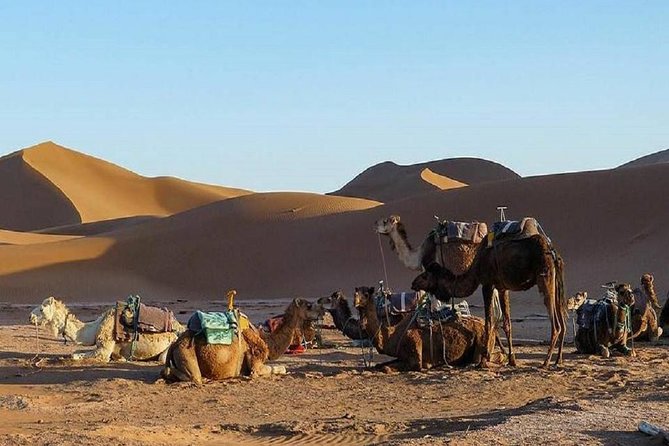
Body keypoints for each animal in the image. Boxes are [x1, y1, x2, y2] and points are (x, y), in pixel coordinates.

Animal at [29, 297, 183, 363]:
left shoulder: (104, 349)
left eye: (41, 309)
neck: (96, 327)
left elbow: (75, 355)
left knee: (162, 359)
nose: (30, 316)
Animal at [161, 298, 324, 384]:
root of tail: (174, 344)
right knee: (192, 376)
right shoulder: (256, 362)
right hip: (186, 354)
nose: (323, 311)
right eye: (309, 305)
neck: (266, 340)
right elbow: (280, 369)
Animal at [353, 286, 501, 371]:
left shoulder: (416, 359)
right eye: (356, 292)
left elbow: (386, 368)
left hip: (481, 341)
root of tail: (494, 329)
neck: (392, 335)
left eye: (366, 294)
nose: (355, 301)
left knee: (487, 359)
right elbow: (380, 365)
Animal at [388, 216, 567, 368]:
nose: (413, 283)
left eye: (425, 275)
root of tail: (553, 252)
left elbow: (489, 321)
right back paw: (558, 360)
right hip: (555, 282)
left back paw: (546, 362)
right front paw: (512, 360)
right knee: (562, 319)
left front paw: (483, 360)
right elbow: (506, 323)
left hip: (544, 278)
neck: (475, 266)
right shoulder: (502, 287)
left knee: (556, 323)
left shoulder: (487, 284)